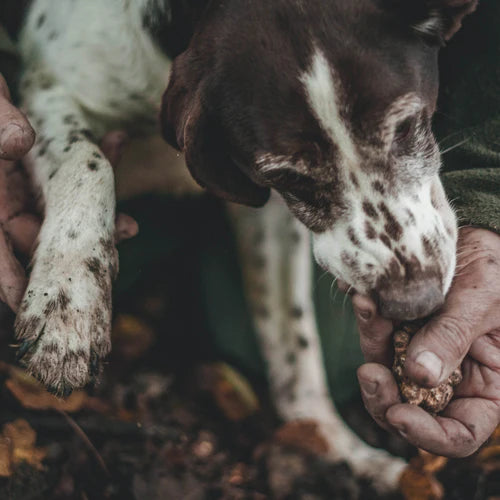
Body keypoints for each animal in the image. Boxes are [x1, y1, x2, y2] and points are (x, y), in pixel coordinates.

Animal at [14, 0, 476, 492]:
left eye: (407, 126)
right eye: (287, 176)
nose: (415, 302)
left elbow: (293, 341)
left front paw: (332, 445)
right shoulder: (47, 92)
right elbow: (87, 161)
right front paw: (68, 303)